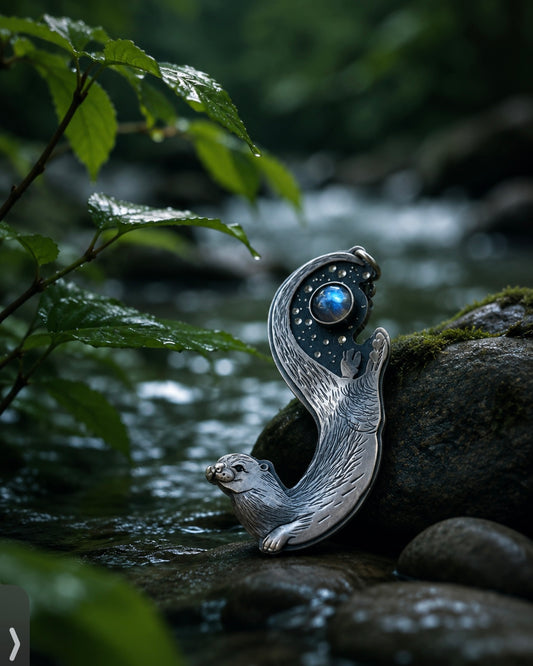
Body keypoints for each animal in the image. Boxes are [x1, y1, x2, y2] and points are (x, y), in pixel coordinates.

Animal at [206, 247, 390, 554]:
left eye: (239, 467)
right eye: (220, 460)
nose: (216, 469)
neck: (275, 507)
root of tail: (333, 397)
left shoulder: (305, 516)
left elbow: (295, 526)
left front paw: (272, 541)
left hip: (361, 408)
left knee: (368, 386)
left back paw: (375, 350)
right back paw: (350, 362)